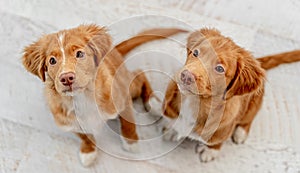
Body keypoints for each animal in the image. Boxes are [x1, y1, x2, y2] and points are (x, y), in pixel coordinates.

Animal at [21, 24, 185, 166]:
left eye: (79, 54)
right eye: (52, 60)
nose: (67, 78)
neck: (82, 97)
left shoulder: (123, 100)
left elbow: (128, 124)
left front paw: (131, 143)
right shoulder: (69, 124)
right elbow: (85, 136)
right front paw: (88, 152)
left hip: (128, 84)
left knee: (139, 74)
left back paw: (153, 104)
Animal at [163, 27, 300, 162]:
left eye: (219, 69)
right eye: (195, 53)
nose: (186, 76)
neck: (195, 102)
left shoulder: (224, 130)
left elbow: (218, 142)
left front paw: (210, 151)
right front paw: (172, 129)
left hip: (254, 105)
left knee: (249, 119)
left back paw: (241, 133)